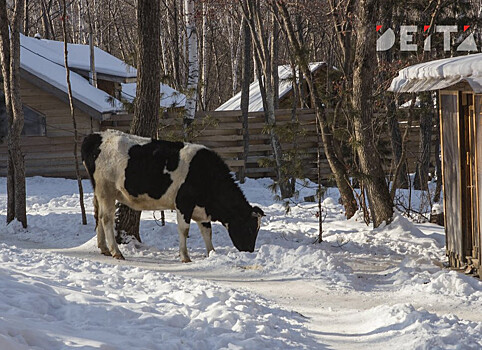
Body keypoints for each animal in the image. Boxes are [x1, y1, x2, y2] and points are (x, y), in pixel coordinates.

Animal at [81, 130, 266, 262]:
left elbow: (207, 232)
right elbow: (184, 230)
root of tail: (96, 136)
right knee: (106, 219)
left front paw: (212, 253)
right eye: (250, 228)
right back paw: (116, 252)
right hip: (106, 190)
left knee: (98, 216)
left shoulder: (201, 209)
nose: (249, 251)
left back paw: (104, 248)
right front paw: (185, 257)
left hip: (99, 191)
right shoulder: (184, 203)